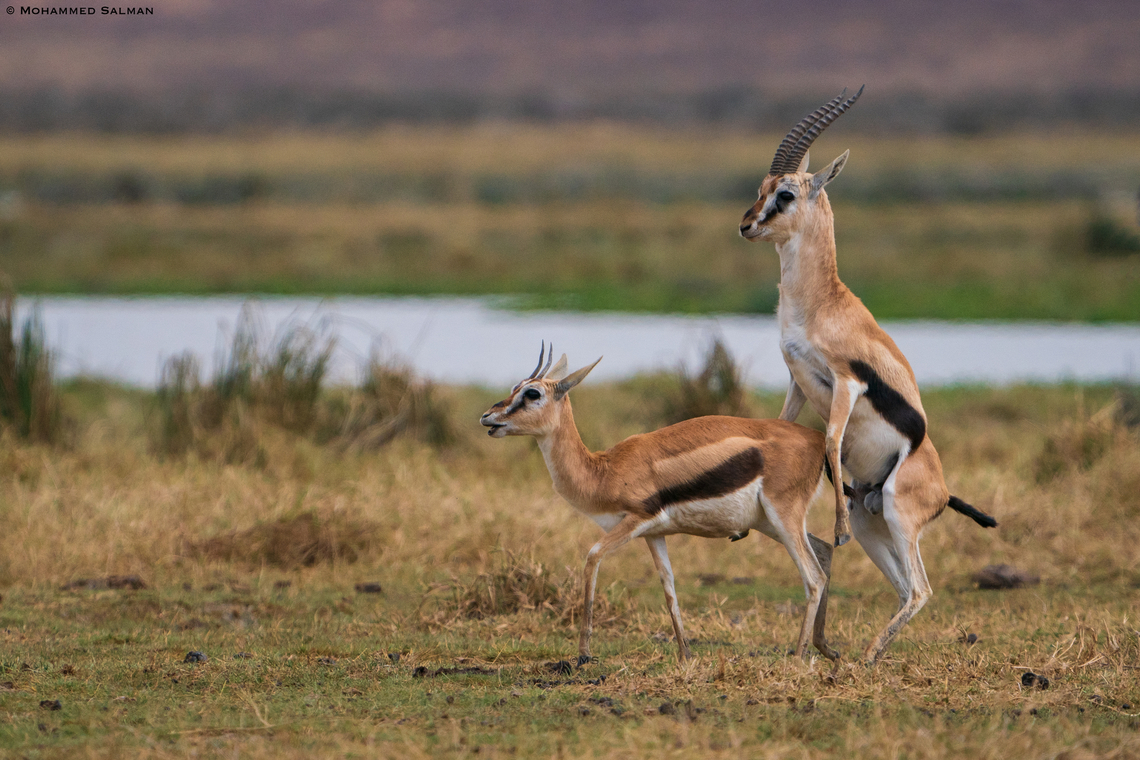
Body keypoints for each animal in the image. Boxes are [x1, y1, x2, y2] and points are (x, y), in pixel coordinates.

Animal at [480, 344, 839, 664]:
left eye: (532, 394)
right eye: (515, 388)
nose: (487, 417)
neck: (604, 470)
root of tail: (818, 440)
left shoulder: (635, 521)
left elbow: (592, 557)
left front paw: (583, 653)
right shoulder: (655, 534)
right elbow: (668, 586)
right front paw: (685, 655)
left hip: (783, 516)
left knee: (813, 577)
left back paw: (798, 658)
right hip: (768, 522)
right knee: (824, 550)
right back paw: (826, 650)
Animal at [739, 88, 998, 662]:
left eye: (785, 194)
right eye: (762, 188)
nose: (745, 225)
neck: (820, 304)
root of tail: (943, 490)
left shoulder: (846, 381)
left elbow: (832, 439)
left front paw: (831, 528)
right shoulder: (797, 378)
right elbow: (787, 427)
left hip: (900, 517)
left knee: (922, 590)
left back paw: (865, 657)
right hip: (873, 520)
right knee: (904, 588)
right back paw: (863, 656)